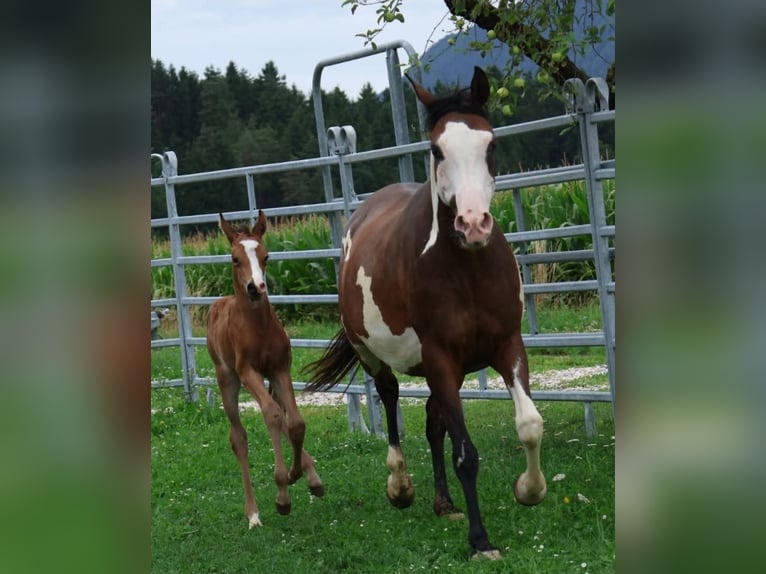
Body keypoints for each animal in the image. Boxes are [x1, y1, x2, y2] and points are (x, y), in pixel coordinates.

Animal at [206, 210, 324, 529]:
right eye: (234, 258)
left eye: (266, 256)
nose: (255, 288)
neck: (258, 328)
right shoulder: (249, 372)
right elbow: (271, 415)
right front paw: (282, 495)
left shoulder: (280, 368)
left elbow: (295, 423)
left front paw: (297, 475)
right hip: (227, 379)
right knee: (238, 437)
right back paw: (253, 513)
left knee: (282, 417)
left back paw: (312, 477)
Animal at [304, 67, 546, 559]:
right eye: (437, 149)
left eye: (490, 143)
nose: (473, 224)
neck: (467, 269)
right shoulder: (439, 356)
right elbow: (465, 454)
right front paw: (480, 540)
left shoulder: (507, 346)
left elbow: (529, 424)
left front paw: (529, 490)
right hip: (376, 356)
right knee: (391, 397)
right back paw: (401, 487)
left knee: (435, 425)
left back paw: (443, 504)